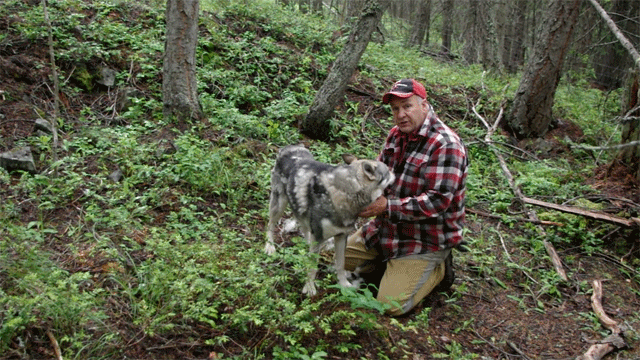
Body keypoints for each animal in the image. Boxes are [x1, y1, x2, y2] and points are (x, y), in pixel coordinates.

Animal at [264, 145, 396, 296]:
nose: (394, 171)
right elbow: (312, 267)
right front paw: (310, 287)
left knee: (304, 227)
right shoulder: (319, 235)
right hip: (279, 205)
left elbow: (340, 264)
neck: (346, 192)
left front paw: (344, 284)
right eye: (388, 170)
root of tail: (289, 147)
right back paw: (269, 247)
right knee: (270, 225)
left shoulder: (341, 236)